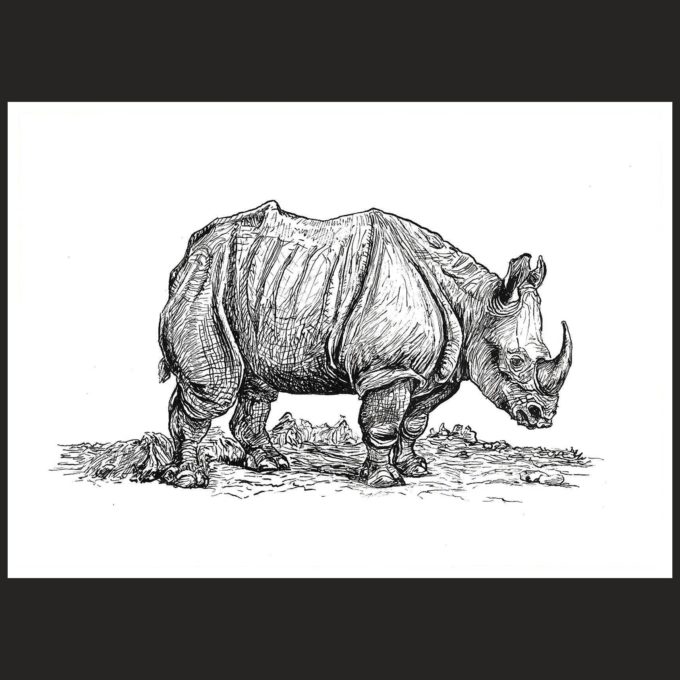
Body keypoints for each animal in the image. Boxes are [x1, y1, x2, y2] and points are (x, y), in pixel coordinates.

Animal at [156, 200, 572, 488]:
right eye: (516, 361)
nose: (543, 416)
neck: (473, 305)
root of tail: (194, 247)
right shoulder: (389, 369)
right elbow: (384, 424)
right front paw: (385, 481)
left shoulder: (431, 371)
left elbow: (413, 422)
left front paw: (414, 468)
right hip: (208, 279)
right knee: (218, 386)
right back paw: (190, 479)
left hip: (252, 287)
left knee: (255, 383)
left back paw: (269, 464)